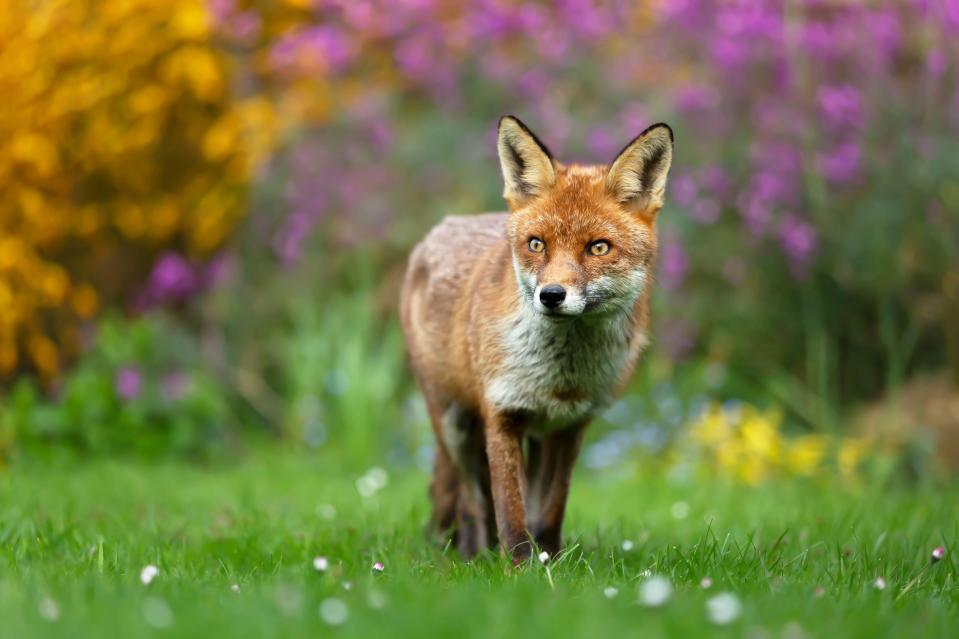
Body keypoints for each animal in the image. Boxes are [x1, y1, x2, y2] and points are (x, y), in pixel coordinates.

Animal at [398, 116, 676, 564]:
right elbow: (509, 510)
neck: (560, 378)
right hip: (455, 425)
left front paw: (550, 563)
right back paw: (473, 555)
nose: (551, 295)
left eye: (598, 247)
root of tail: (443, 228)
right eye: (536, 244)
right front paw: (519, 568)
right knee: (471, 501)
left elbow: (547, 510)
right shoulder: (502, 414)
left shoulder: (570, 425)